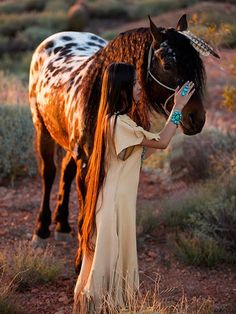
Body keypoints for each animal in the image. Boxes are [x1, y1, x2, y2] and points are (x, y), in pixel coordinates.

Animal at [28, 14, 218, 270]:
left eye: (197, 65)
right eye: (168, 65)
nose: (196, 118)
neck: (97, 98)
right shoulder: (87, 163)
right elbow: (86, 210)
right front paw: (82, 261)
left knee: (65, 171)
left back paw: (62, 225)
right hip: (42, 128)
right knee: (49, 173)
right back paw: (41, 229)